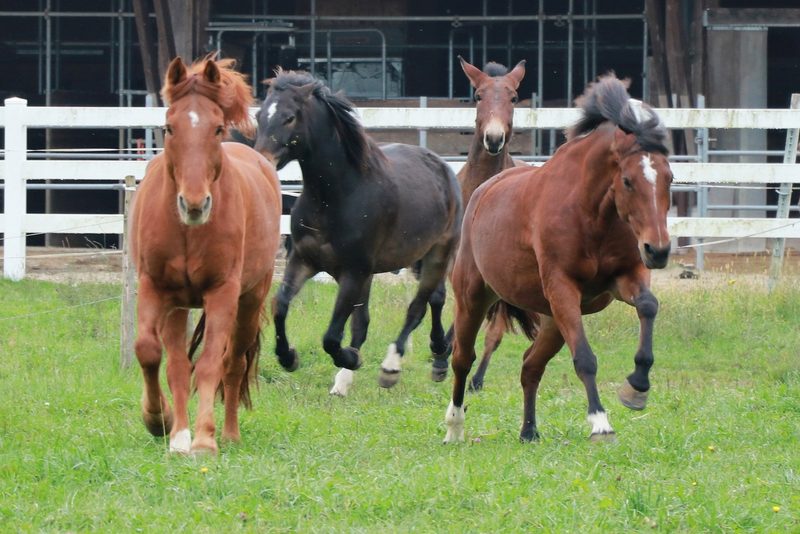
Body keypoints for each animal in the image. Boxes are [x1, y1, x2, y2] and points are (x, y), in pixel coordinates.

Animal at [130, 56, 282, 454]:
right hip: (177, 306)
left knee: (233, 363)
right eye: (169, 127)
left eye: (216, 129)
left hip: (249, 300)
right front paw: (161, 422)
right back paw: (178, 431)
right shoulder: (155, 287)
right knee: (178, 364)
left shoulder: (222, 293)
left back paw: (228, 434)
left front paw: (204, 440)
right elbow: (151, 353)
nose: (194, 204)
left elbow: (212, 362)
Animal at [253, 69, 462, 396]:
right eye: (259, 115)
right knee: (428, 302)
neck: (334, 196)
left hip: (438, 254)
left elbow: (332, 337)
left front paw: (351, 358)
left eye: (289, 117)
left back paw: (395, 367)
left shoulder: (354, 271)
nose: (262, 160)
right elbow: (281, 304)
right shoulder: (304, 260)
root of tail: (442, 166)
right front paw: (289, 357)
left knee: (419, 307)